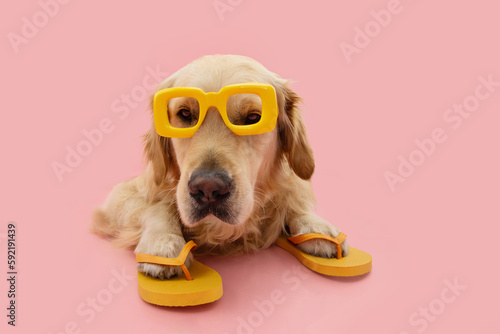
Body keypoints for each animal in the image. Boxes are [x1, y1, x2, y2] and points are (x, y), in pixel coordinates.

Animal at [92, 54, 346, 280]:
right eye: (185, 113)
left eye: (253, 117)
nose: (208, 189)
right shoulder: (123, 194)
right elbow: (157, 206)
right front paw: (163, 242)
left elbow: (292, 199)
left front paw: (316, 225)